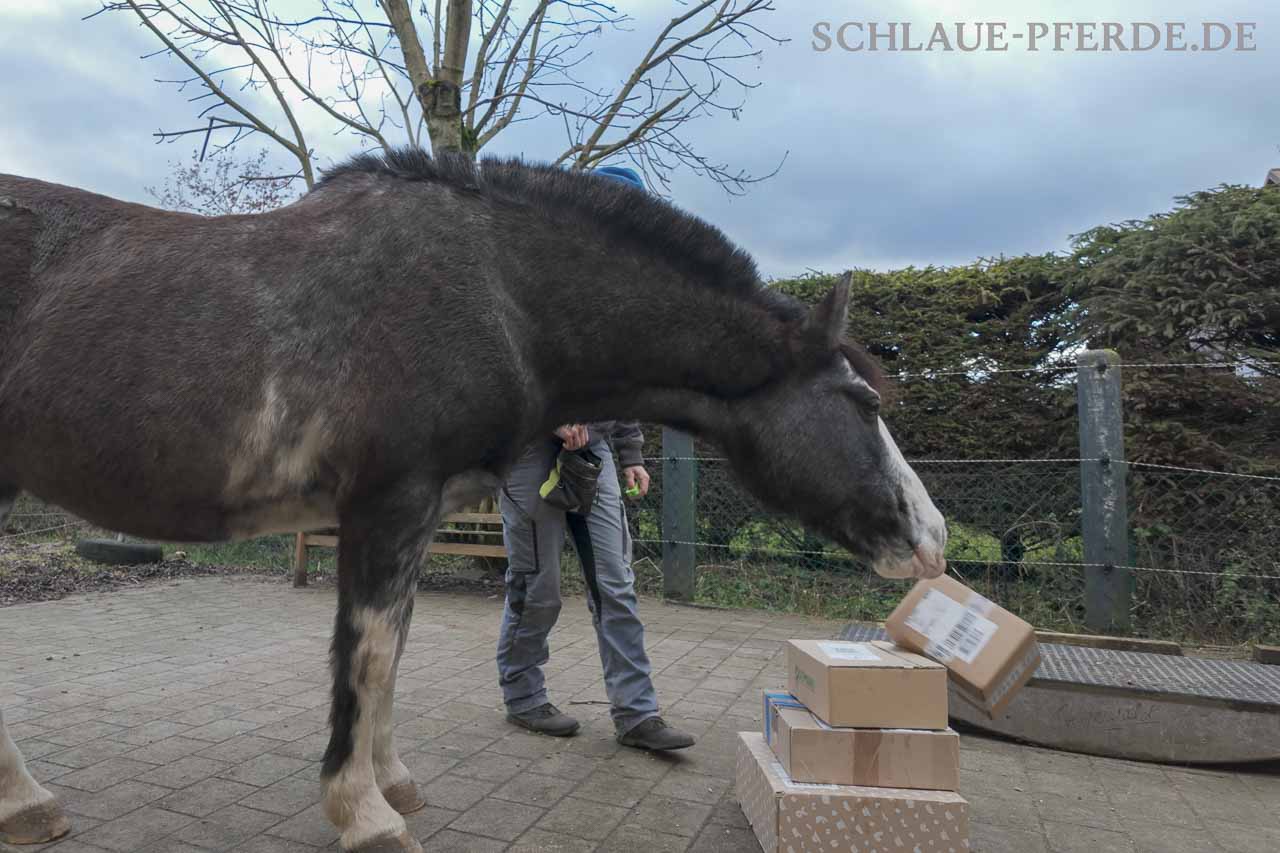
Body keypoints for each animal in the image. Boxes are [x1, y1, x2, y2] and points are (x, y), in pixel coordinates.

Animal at [0, 149, 947, 851]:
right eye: (863, 401)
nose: (931, 535)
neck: (497, 294)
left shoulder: (417, 516)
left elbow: (394, 651)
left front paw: (391, 784)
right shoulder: (387, 504)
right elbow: (366, 655)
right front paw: (364, 813)